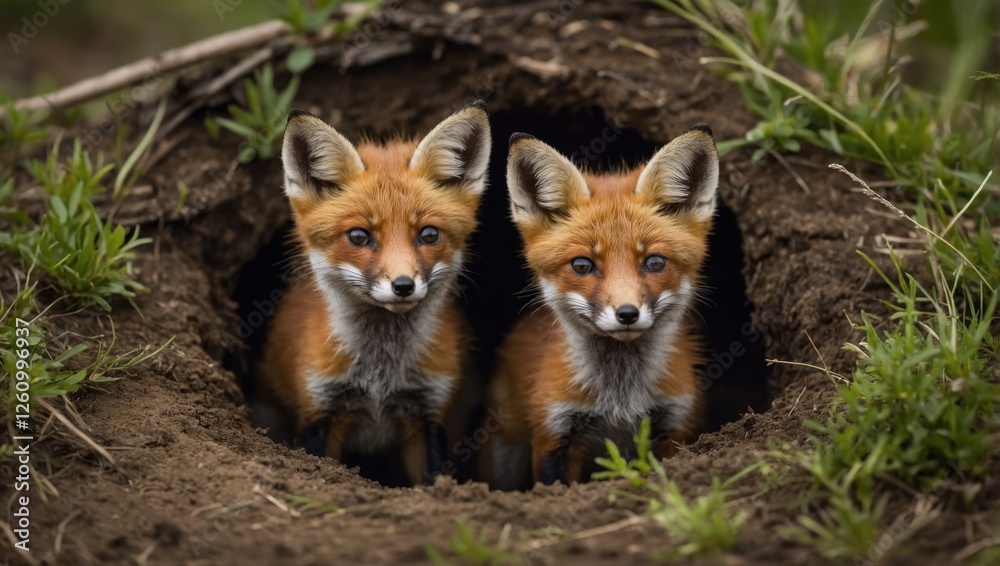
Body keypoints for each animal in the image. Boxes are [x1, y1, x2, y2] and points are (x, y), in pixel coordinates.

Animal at [254, 100, 492, 486]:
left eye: (428, 234)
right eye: (359, 236)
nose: (403, 285)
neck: (381, 377)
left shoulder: (427, 416)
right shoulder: (320, 411)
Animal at [482, 124, 719, 489]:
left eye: (654, 262)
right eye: (582, 265)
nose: (627, 314)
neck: (620, 400)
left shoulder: (674, 426)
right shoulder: (554, 433)